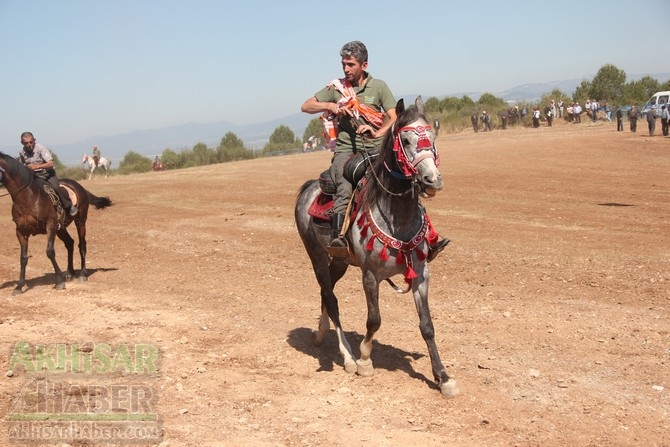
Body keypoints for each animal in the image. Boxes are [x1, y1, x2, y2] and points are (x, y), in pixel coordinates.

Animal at [0, 152, 113, 296]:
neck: (28, 197)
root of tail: (79, 186)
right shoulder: (21, 231)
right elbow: (23, 258)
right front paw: (19, 286)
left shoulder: (50, 226)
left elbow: (50, 252)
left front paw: (59, 281)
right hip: (61, 228)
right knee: (70, 243)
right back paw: (69, 272)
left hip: (80, 221)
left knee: (81, 244)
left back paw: (82, 273)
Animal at [296, 97, 460, 396]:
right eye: (405, 140)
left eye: (431, 136)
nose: (432, 180)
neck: (397, 215)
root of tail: (309, 188)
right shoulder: (370, 275)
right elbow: (374, 320)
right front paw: (364, 360)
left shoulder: (421, 273)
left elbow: (427, 325)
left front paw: (443, 377)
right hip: (316, 256)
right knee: (331, 298)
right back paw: (348, 358)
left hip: (339, 261)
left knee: (326, 292)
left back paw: (319, 334)